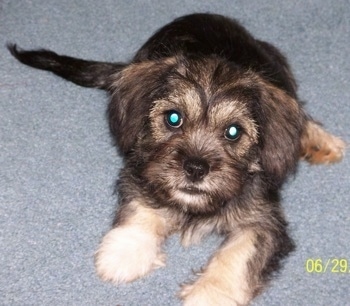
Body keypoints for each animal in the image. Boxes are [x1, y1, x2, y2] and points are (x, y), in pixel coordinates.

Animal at [8, 12, 344, 306]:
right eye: (173, 118)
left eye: (233, 132)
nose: (195, 168)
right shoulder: (141, 171)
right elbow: (140, 208)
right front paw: (124, 252)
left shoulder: (264, 219)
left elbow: (240, 253)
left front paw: (210, 293)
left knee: (299, 113)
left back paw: (319, 140)